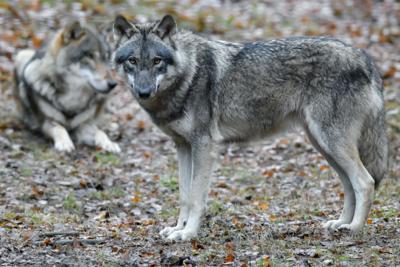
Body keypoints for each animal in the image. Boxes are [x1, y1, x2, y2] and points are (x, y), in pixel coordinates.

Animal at [14, 21, 120, 153]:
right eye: (90, 56)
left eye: (106, 58)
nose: (113, 84)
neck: (73, 98)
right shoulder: (47, 123)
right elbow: (59, 128)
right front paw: (65, 143)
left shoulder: (83, 125)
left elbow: (99, 132)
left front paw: (109, 143)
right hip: (22, 55)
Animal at [111, 14, 388, 241]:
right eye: (133, 61)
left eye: (157, 60)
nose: (144, 92)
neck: (188, 75)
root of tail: (365, 58)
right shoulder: (182, 146)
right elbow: (184, 196)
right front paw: (178, 229)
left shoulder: (204, 146)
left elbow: (197, 197)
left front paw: (188, 234)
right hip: (324, 146)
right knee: (350, 186)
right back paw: (340, 224)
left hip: (332, 142)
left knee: (365, 182)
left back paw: (354, 229)